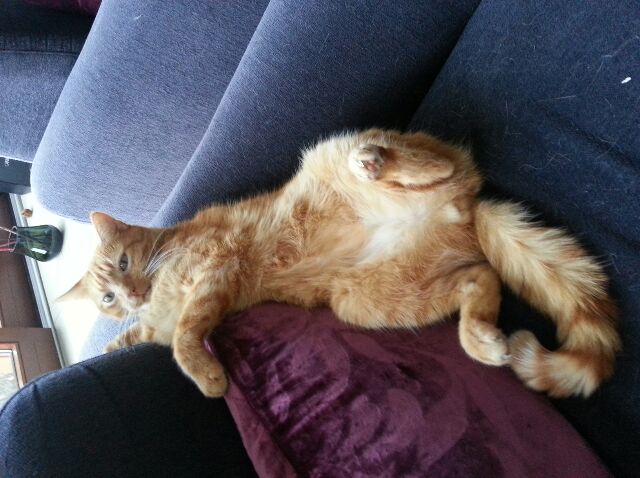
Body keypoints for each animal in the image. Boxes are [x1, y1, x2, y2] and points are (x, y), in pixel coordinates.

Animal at [61, 129, 621, 398]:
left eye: (126, 262)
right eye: (107, 297)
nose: (129, 296)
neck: (160, 295)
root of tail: (462, 212)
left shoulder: (215, 270)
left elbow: (183, 339)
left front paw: (207, 376)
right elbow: (140, 337)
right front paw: (113, 343)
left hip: (338, 154)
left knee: (432, 163)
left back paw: (375, 162)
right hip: (369, 302)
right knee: (480, 278)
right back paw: (480, 338)